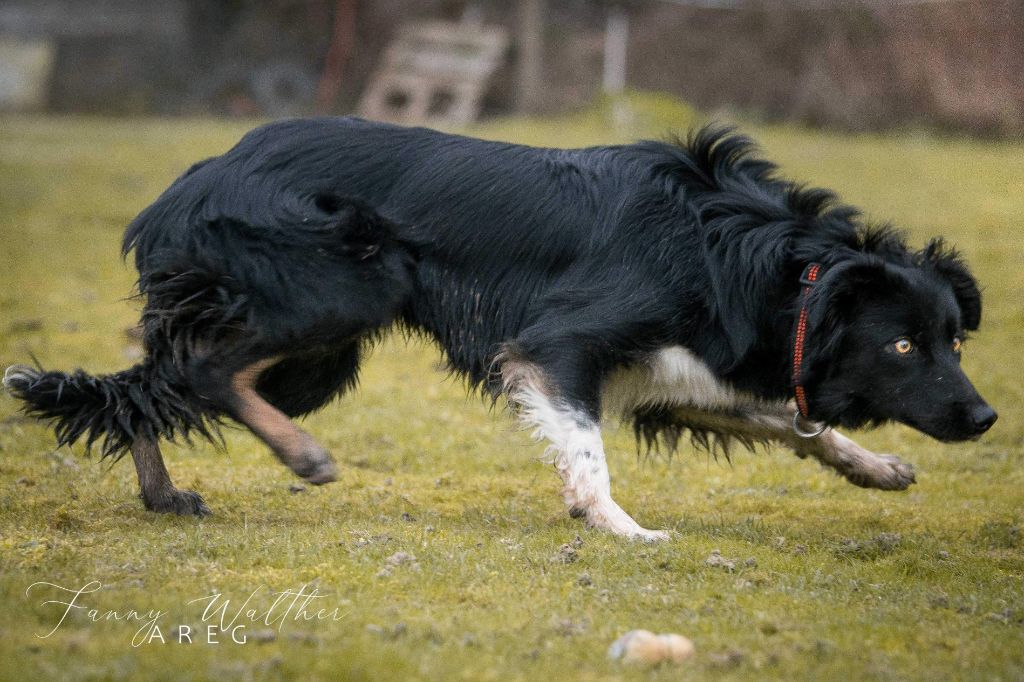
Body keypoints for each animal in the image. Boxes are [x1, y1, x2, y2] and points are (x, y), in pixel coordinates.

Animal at [4, 120, 995, 536]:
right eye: (903, 345)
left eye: (955, 341)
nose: (986, 419)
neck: (761, 262)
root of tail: (187, 184)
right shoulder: (560, 345)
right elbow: (587, 447)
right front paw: (615, 524)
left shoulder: (678, 376)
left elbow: (794, 424)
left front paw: (876, 468)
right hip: (343, 282)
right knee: (204, 374)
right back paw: (302, 458)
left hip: (315, 348)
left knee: (156, 388)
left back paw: (164, 496)